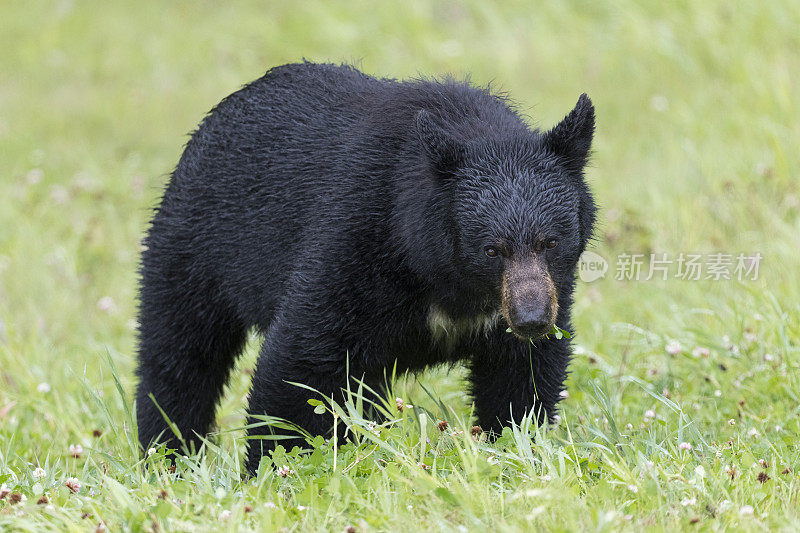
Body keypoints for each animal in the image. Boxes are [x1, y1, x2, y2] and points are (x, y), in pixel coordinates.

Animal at [136, 60, 592, 472]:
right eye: (491, 250)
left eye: (551, 242)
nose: (531, 319)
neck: (445, 278)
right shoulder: (356, 239)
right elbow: (301, 358)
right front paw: (274, 468)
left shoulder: (541, 292)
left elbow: (521, 375)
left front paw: (516, 446)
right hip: (195, 243)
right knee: (179, 352)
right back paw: (166, 453)